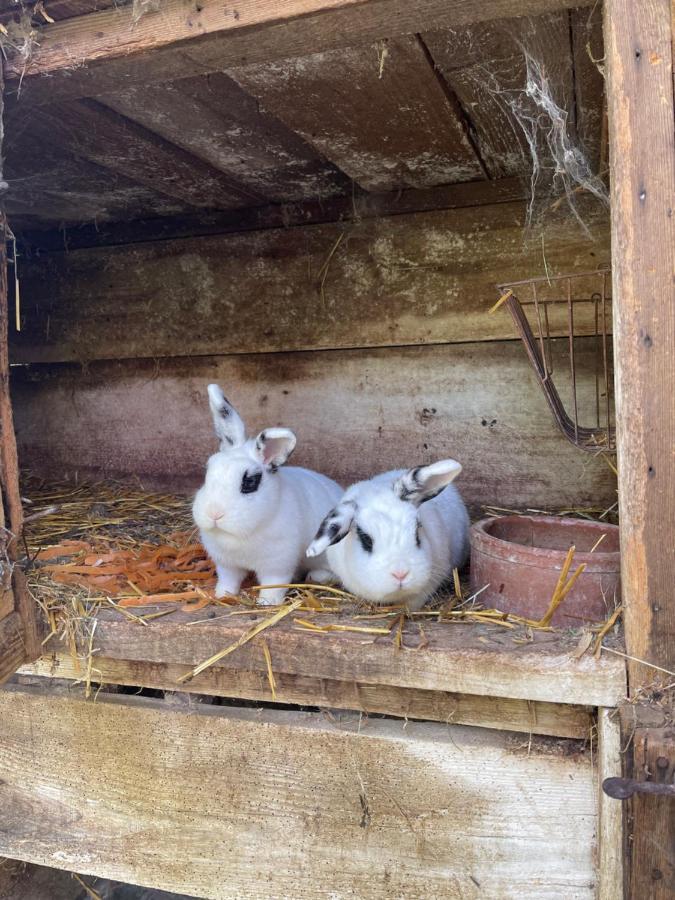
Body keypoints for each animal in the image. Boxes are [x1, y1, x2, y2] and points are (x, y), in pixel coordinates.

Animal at [194, 384, 344, 608]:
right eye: (207, 472)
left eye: (249, 483)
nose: (214, 513)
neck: (240, 535)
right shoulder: (226, 564)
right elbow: (228, 580)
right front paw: (222, 595)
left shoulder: (277, 564)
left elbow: (274, 584)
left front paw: (267, 602)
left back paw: (316, 576)